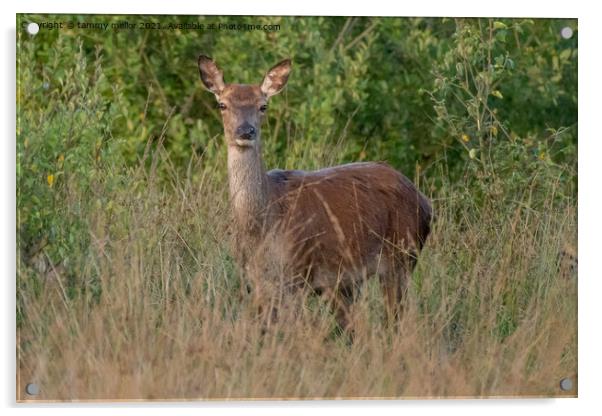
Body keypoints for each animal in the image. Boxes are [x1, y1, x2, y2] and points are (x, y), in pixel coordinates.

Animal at [198, 55, 432, 330]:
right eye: (222, 104)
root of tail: (425, 202)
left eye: (263, 106)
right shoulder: (255, 280)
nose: (246, 131)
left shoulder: (298, 272)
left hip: (402, 256)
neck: (261, 225)